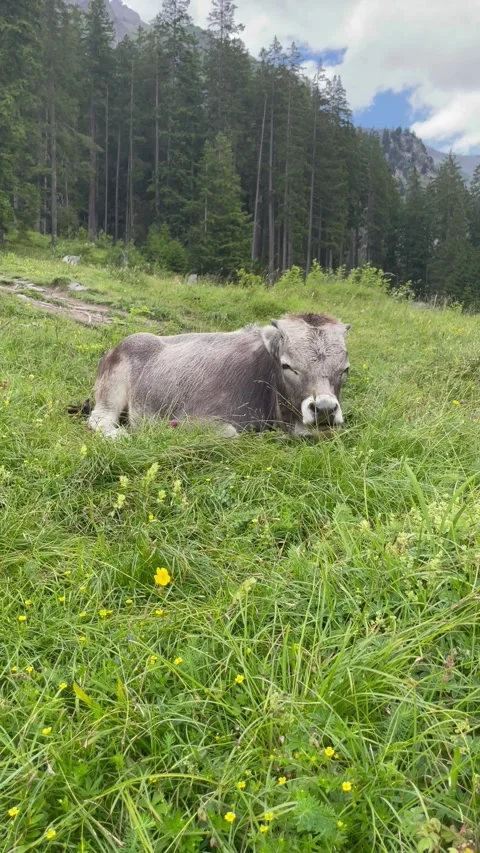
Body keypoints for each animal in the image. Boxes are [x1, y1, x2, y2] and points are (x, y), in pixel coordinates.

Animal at [84, 313, 351, 438]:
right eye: (287, 366)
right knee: (98, 419)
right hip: (111, 394)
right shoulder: (191, 419)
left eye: (345, 369)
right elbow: (230, 433)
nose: (324, 409)